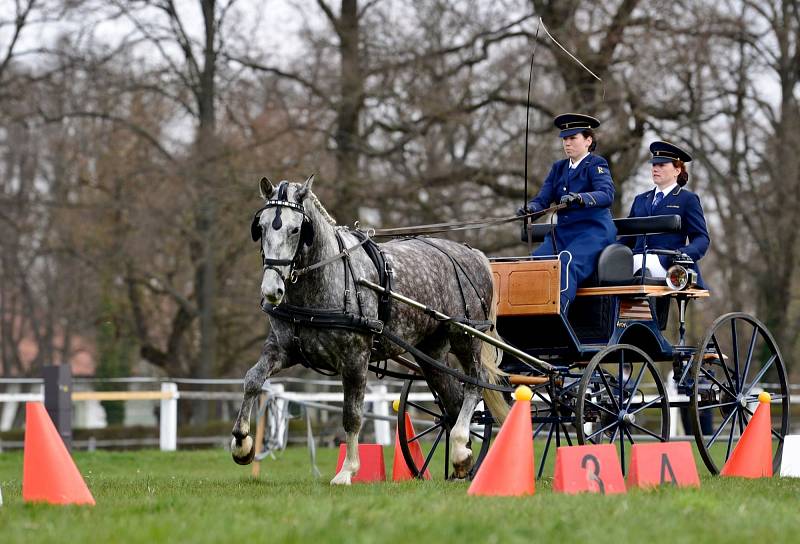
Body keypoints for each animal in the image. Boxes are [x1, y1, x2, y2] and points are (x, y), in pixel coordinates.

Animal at [231, 176, 506, 482]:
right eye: (262, 226)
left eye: (295, 229)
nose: (272, 290)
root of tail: (474, 253)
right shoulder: (282, 349)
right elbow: (252, 380)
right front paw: (241, 445)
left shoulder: (355, 357)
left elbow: (352, 414)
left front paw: (347, 470)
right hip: (431, 353)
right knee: (453, 401)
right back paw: (464, 461)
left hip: (466, 336)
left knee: (475, 384)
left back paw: (459, 448)